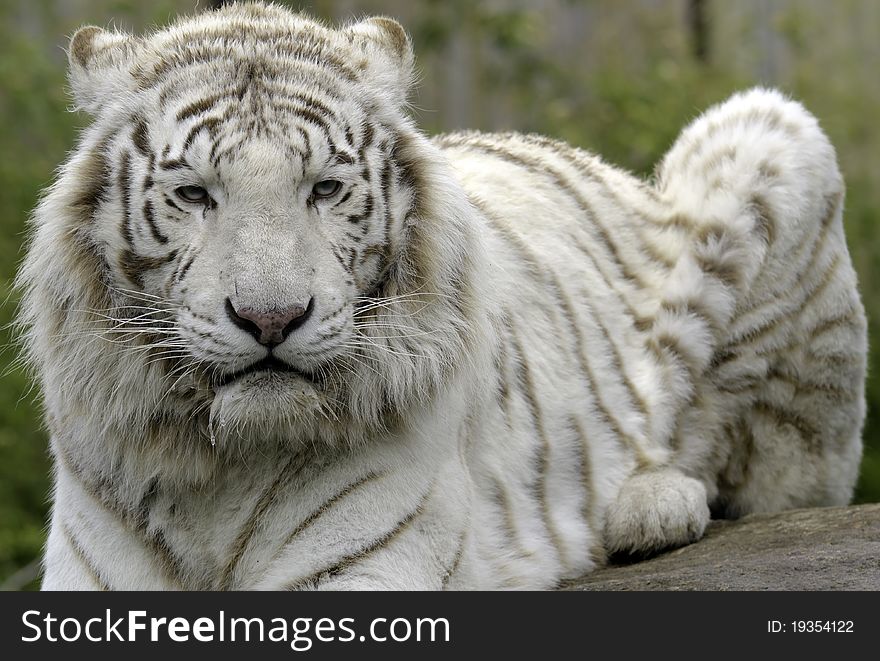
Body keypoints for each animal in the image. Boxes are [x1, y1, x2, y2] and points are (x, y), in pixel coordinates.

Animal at [18, 0, 868, 588]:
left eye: (325, 189)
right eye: (195, 194)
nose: (271, 318)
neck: (223, 463)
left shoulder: (366, 563)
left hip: (771, 131)